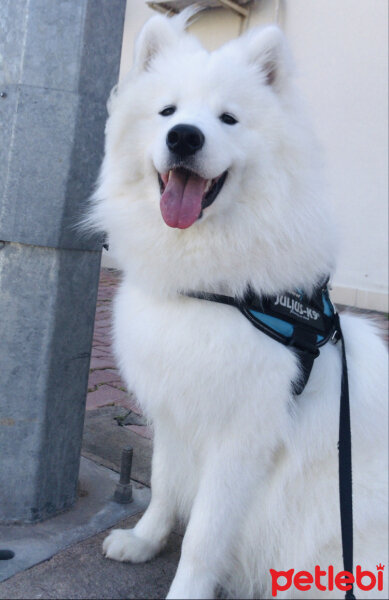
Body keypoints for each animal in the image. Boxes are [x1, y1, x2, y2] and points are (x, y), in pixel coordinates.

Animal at [89, 10, 386, 600]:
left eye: (228, 119)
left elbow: (203, 537)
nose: (184, 136)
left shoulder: (241, 438)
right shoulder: (174, 412)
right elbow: (163, 487)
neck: (213, 288)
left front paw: (185, 591)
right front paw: (142, 541)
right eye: (168, 112)